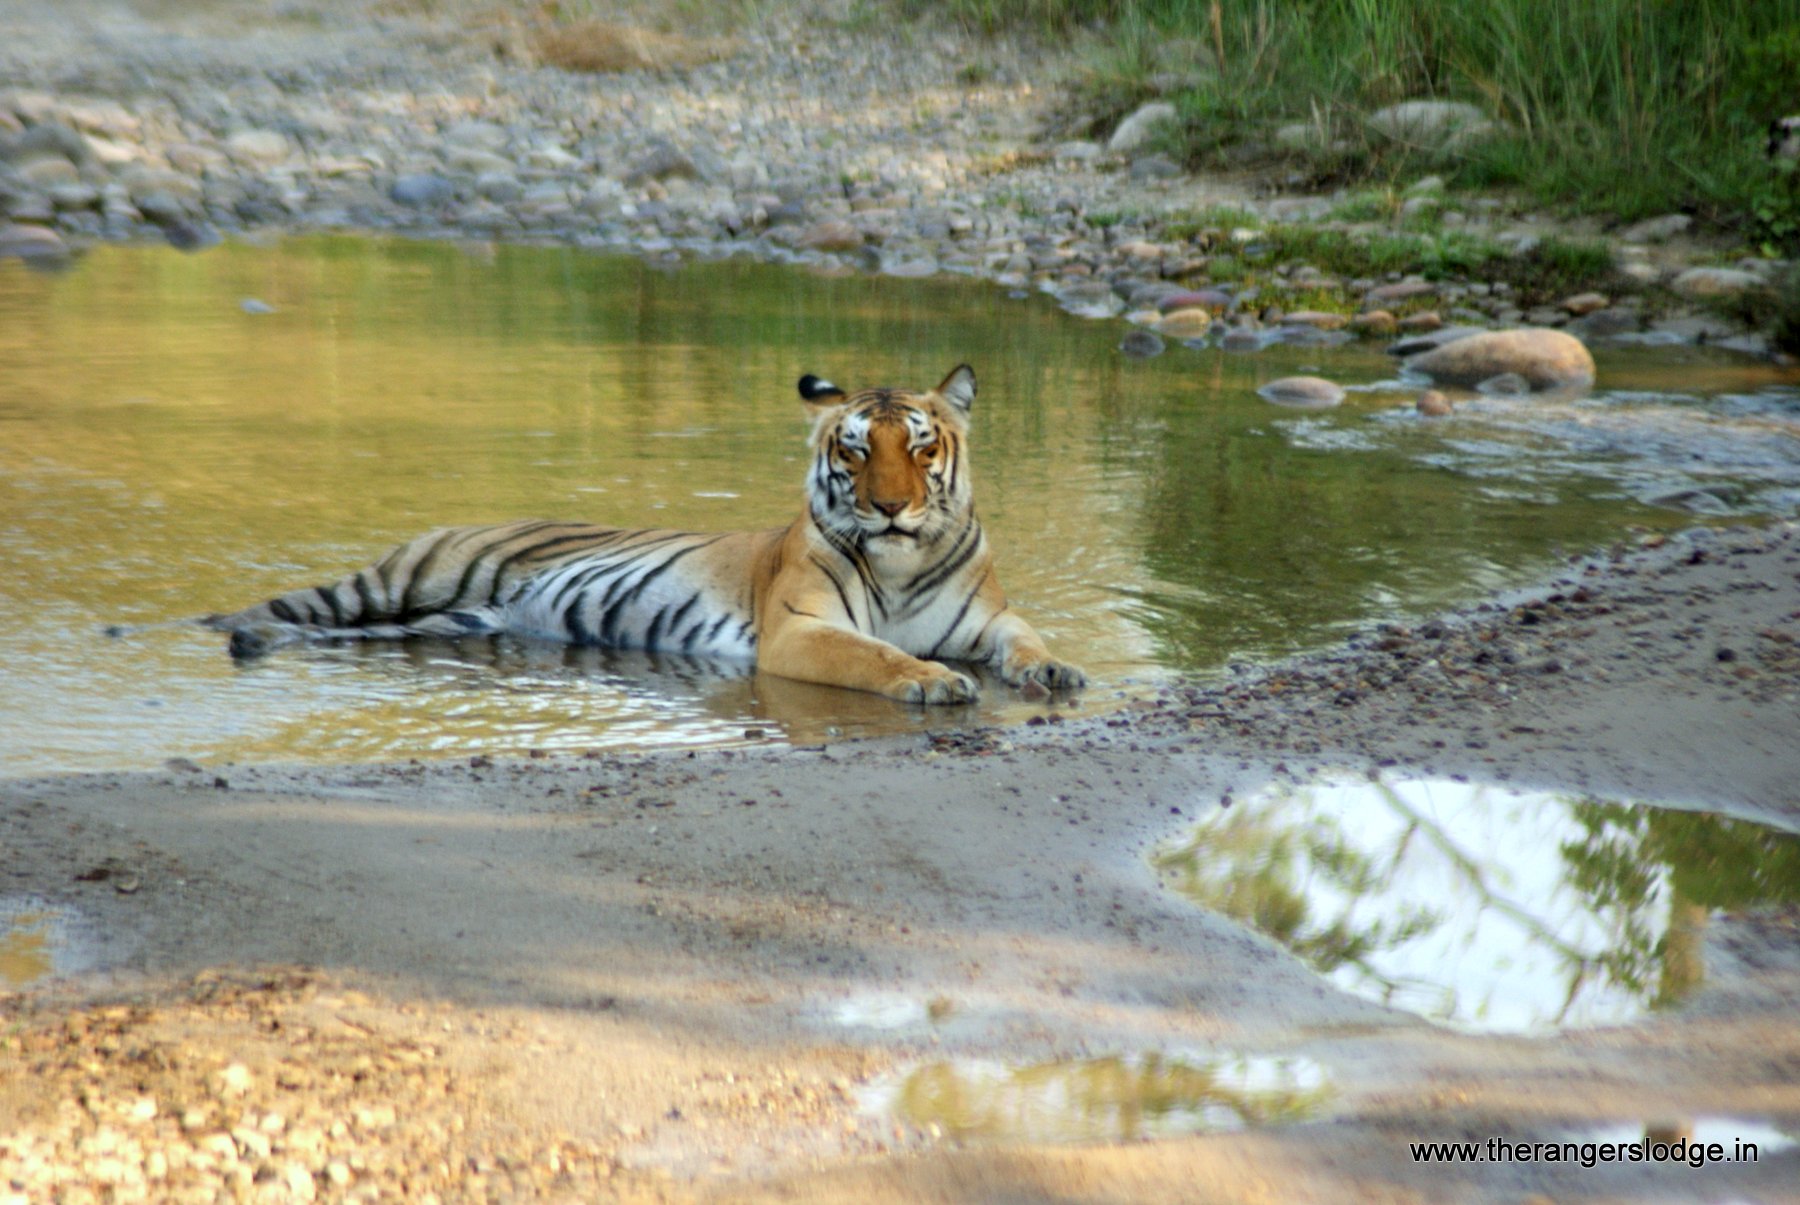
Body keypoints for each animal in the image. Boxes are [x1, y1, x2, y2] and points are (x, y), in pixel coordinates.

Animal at [210, 362, 1080, 698]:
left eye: (922, 447)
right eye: (857, 449)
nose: (892, 508)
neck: (899, 562)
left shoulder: (990, 619)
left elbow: (1028, 639)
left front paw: (1056, 670)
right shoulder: (801, 630)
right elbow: (874, 654)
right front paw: (930, 680)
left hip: (439, 619)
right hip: (412, 573)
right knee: (300, 603)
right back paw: (239, 631)